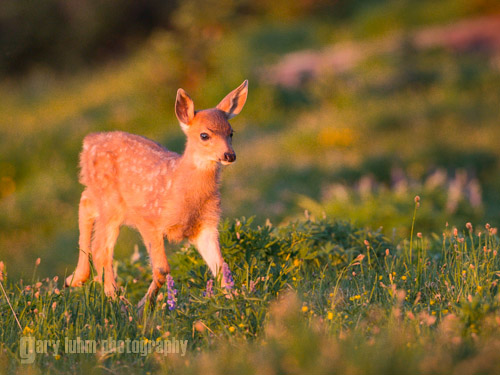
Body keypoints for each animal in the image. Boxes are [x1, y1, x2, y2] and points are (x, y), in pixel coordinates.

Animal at [64, 81, 248, 310]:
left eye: (231, 132)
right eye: (204, 135)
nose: (229, 155)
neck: (179, 190)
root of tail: (89, 141)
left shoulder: (205, 225)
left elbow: (221, 265)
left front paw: (236, 301)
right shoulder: (149, 219)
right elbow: (162, 269)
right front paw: (144, 307)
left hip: (103, 197)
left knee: (86, 205)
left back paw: (76, 279)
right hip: (111, 203)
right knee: (101, 249)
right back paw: (117, 300)